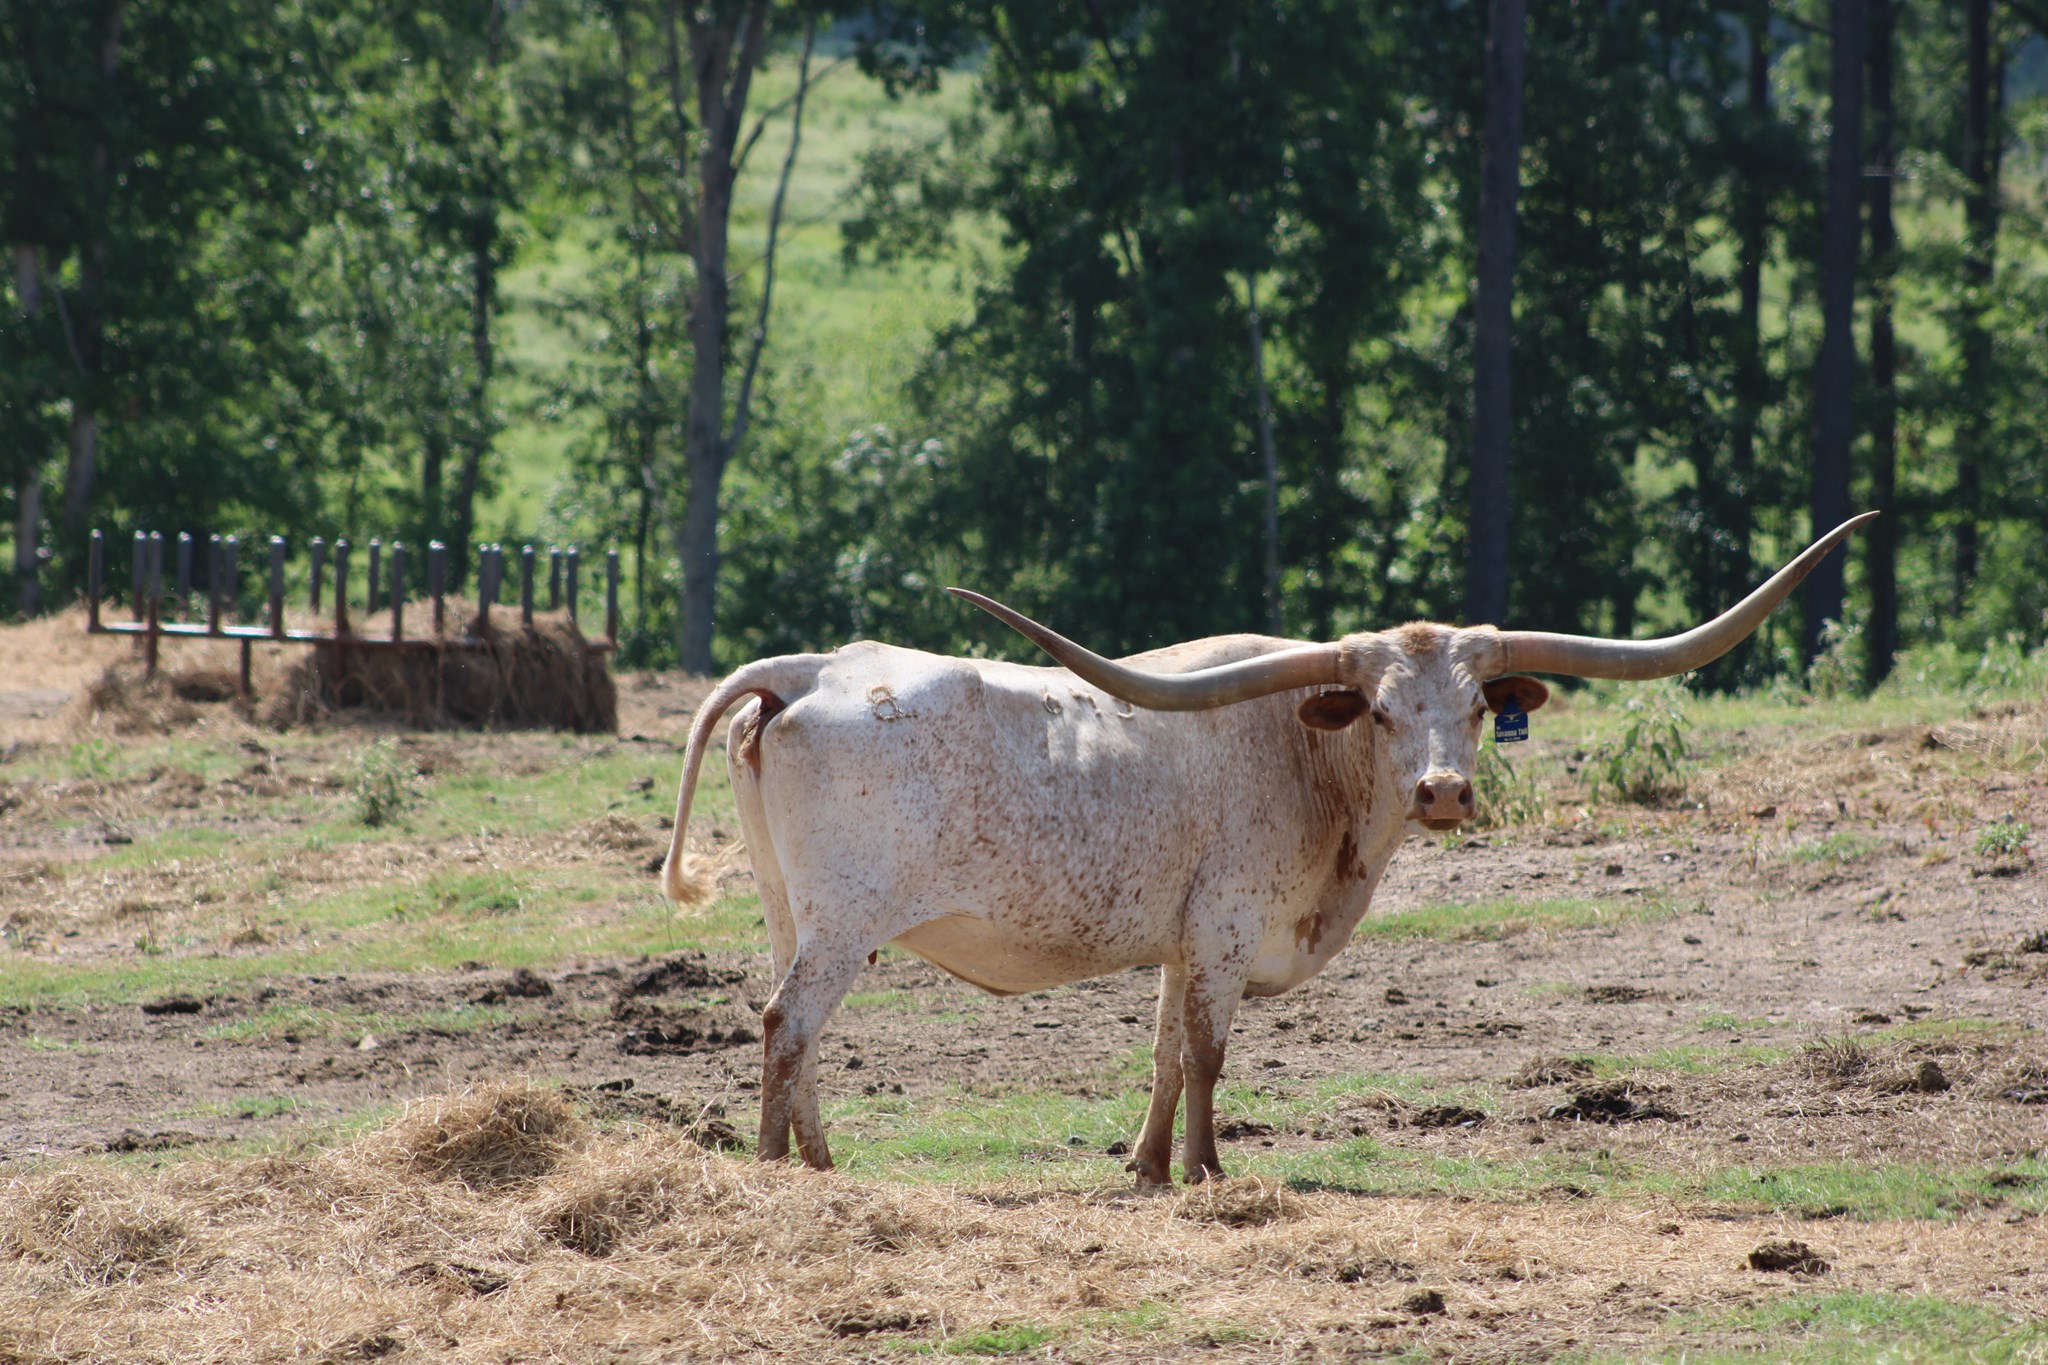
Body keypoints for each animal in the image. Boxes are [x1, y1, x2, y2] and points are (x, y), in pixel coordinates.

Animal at [659, 514, 1873, 1184]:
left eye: (1476, 707)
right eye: (1378, 710)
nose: (1442, 791)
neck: (1302, 754)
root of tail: (812, 667)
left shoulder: (1180, 939)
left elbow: (1160, 1052)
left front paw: (1147, 1165)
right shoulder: (1225, 928)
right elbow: (1206, 1054)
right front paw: (1206, 1169)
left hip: (793, 911)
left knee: (797, 1032)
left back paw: (820, 1159)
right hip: (844, 920)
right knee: (786, 1023)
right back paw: (774, 1169)